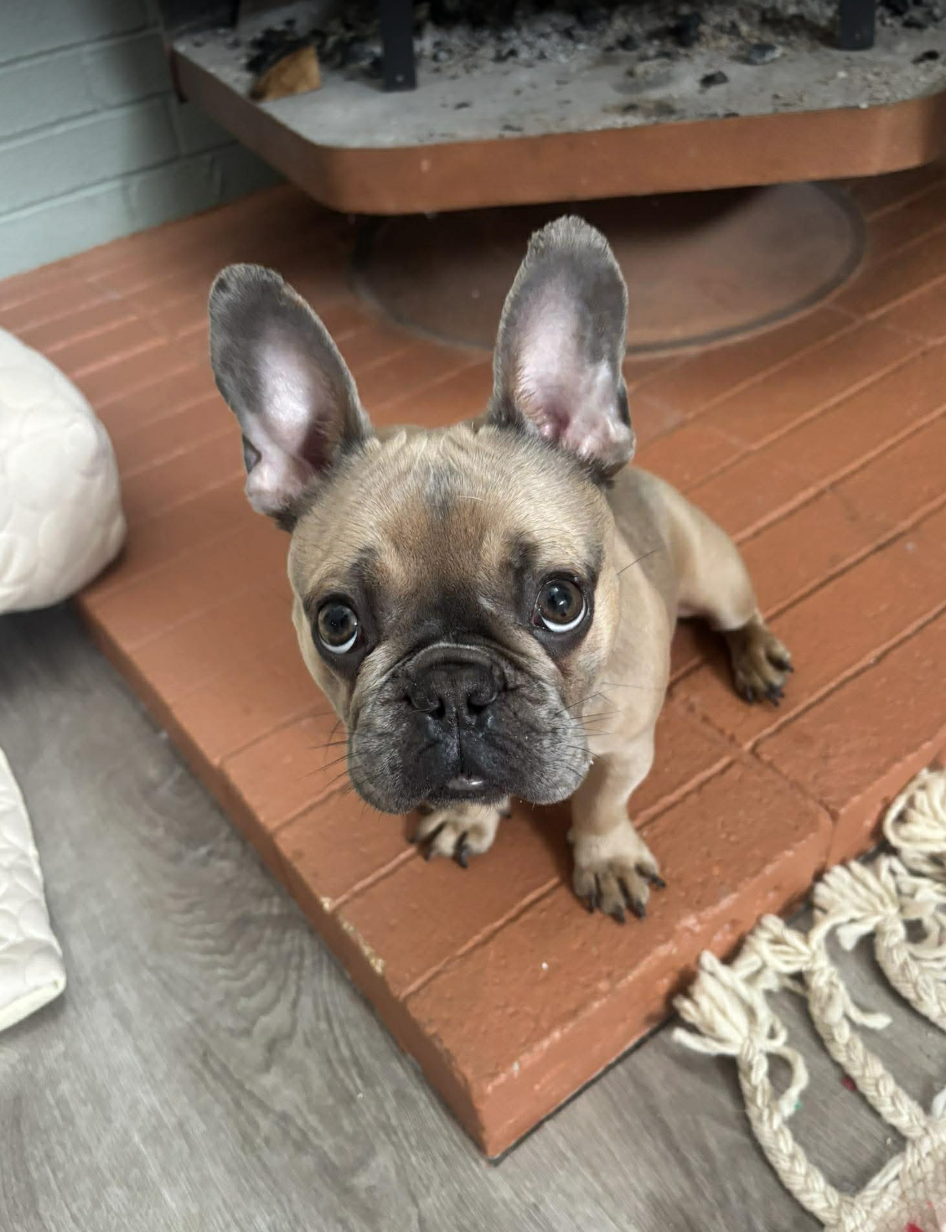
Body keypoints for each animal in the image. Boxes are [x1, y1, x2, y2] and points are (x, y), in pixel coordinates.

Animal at [207, 217, 792, 923]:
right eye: (337, 624)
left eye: (562, 601)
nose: (453, 689)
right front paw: (468, 818)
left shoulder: (627, 748)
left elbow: (604, 803)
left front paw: (607, 857)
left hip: (713, 573)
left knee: (739, 615)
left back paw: (757, 656)